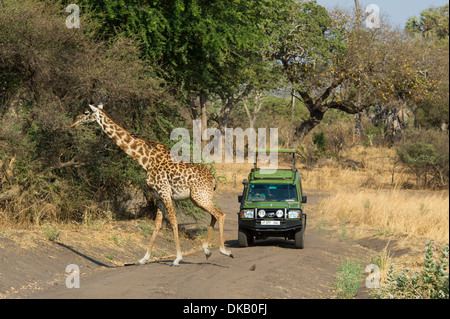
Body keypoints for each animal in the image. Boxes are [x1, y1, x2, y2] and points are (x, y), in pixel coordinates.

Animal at [72, 104, 234, 266]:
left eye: (86, 113)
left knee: (220, 214)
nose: (73, 123)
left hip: (200, 196)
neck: (146, 160)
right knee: (214, 215)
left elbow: (174, 222)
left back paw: (225, 251)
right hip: (199, 198)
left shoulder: (165, 192)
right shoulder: (158, 196)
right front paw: (143, 258)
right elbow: (157, 225)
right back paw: (207, 250)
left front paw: (177, 258)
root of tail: (213, 180)